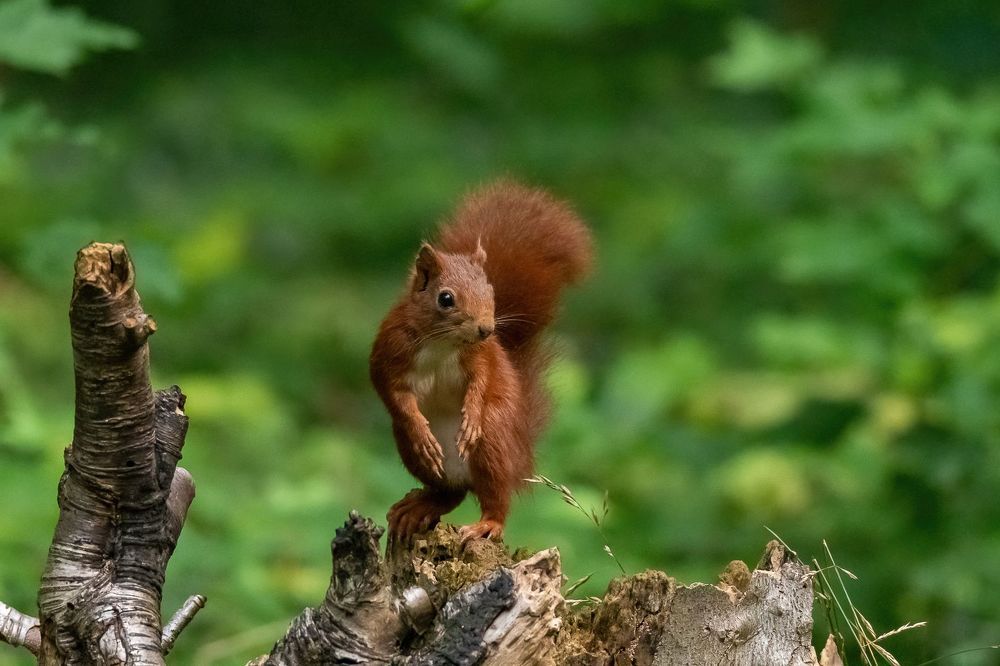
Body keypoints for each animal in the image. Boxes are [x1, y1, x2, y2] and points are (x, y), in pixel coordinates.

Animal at [370, 180, 593, 541]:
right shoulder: (391, 348)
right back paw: (419, 506)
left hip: (492, 442)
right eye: (445, 298)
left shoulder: (481, 356)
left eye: (491, 292)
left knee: (495, 496)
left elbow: (483, 380)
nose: (487, 329)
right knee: (450, 492)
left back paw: (488, 523)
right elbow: (390, 389)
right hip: (410, 451)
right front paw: (419, 428)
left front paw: (471, 414)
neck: (443, 342)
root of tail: (521, 457)